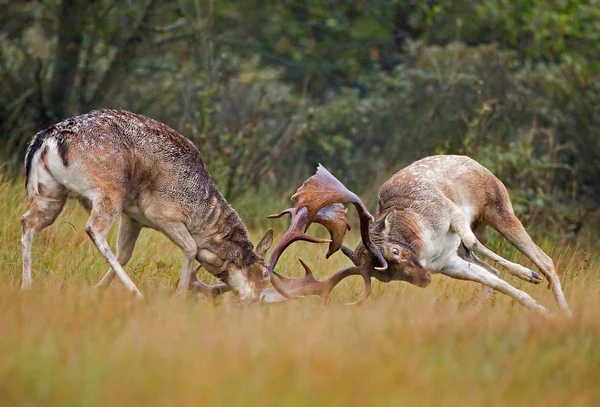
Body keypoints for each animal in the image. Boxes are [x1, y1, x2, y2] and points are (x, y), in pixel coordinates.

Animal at [19, 108, 278, 302]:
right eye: (265, 273)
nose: (255, 299)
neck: (202, 218)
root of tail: (46, 139)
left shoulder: (133, 218)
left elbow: (124, 254)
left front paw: (95, 291)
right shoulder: (164, 215)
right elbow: (191, 248)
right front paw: (179, 296)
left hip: (50, 192)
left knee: (27, 222)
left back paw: (27, 285)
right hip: (110, 191)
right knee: (94, 229)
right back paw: (136, 293)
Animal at [258, 157, 572, 318]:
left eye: (395, 253)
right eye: (386, 277)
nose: (424, 280)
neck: (423, 239)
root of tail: (478, 163)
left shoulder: (453, 213)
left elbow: (477, 246)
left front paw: (529, 276)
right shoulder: (448, 263)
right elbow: (498, 281)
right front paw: (541, 310)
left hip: (498, 207)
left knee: (545, 259)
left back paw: (563, 306)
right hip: (470, 243)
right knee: (492, 270)